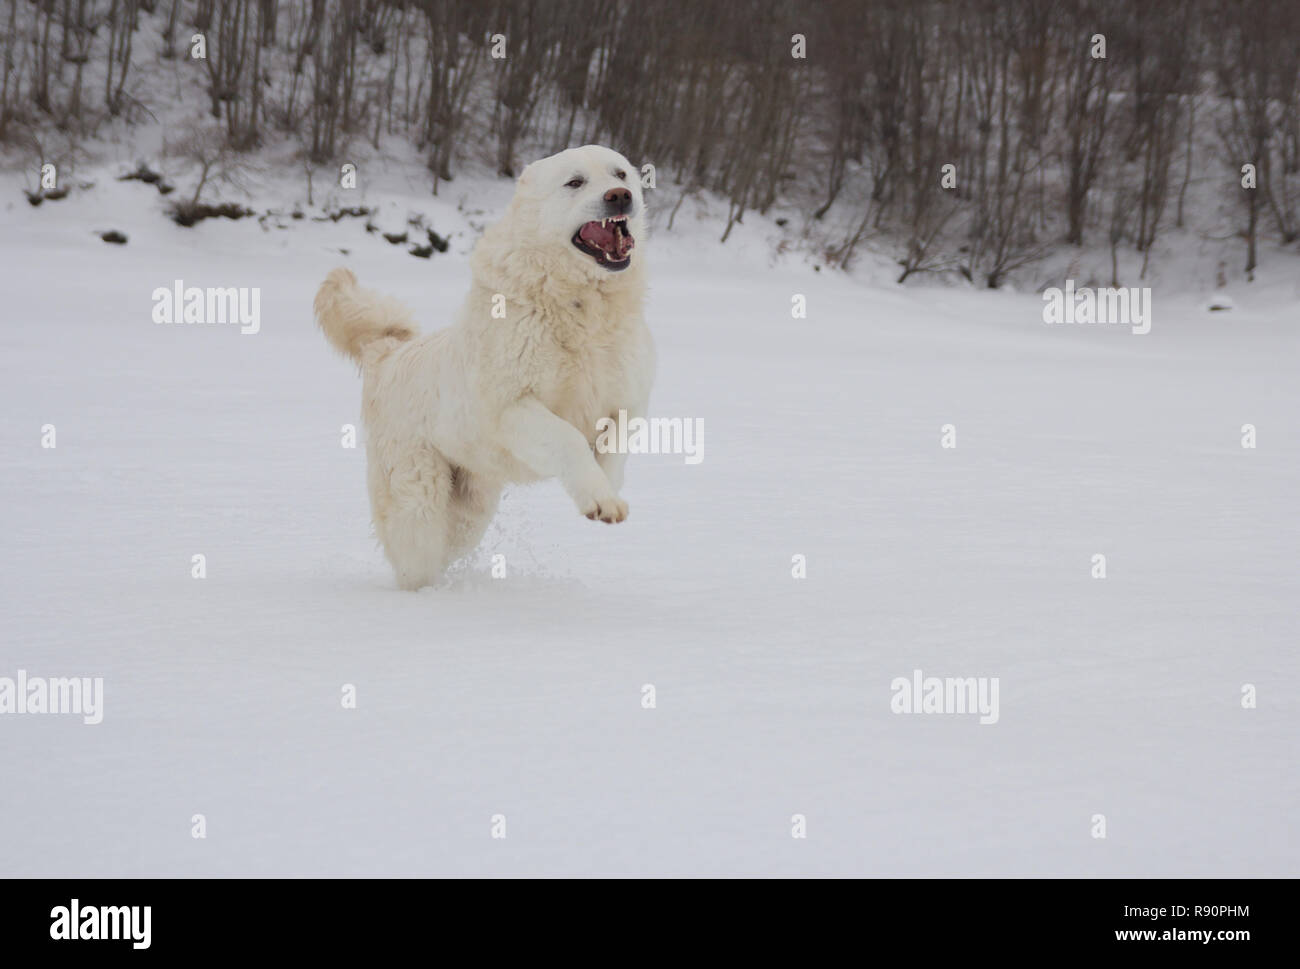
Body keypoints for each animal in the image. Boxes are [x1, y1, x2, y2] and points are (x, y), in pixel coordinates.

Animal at [310, 141, 655, 582]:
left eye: (620, 174)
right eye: (575, 182)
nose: (619, 197)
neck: (581, 307)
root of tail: (387, 353)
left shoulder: (627, 402)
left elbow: (614, 447)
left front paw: (606, 491)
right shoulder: (512, 407)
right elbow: (568, 439)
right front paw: (598, 498)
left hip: (470, 511)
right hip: (419, 502)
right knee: (414, 560)